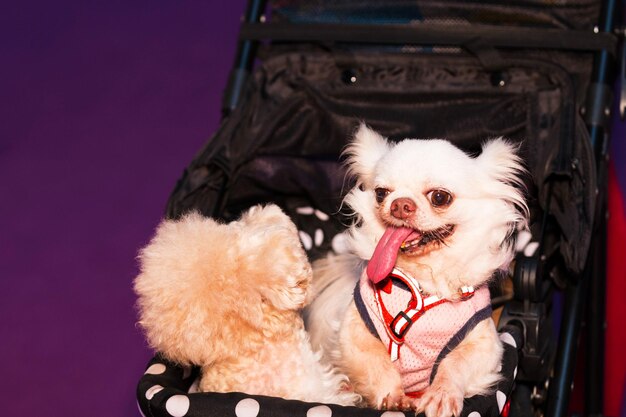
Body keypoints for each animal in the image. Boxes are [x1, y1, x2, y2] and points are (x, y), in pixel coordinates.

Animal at [304, 125, 528, 416]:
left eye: (440, 197)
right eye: (381, 193)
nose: (400, 204)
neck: (420, 283)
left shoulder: (485, 346)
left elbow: (455, 363)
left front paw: (441, 394)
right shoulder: (353, 337)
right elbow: (377, 363)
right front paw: (392, 395)